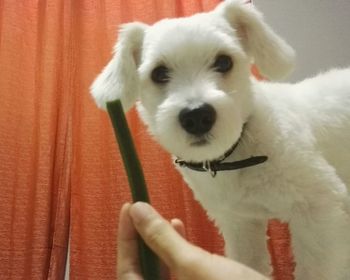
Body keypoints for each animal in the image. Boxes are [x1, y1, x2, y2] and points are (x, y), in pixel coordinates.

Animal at [91, 1, 350, 278]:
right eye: (159, 73)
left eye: (224, 62)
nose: (197, 116)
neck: (234, 156)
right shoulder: (239, 222)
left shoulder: (320, 211)